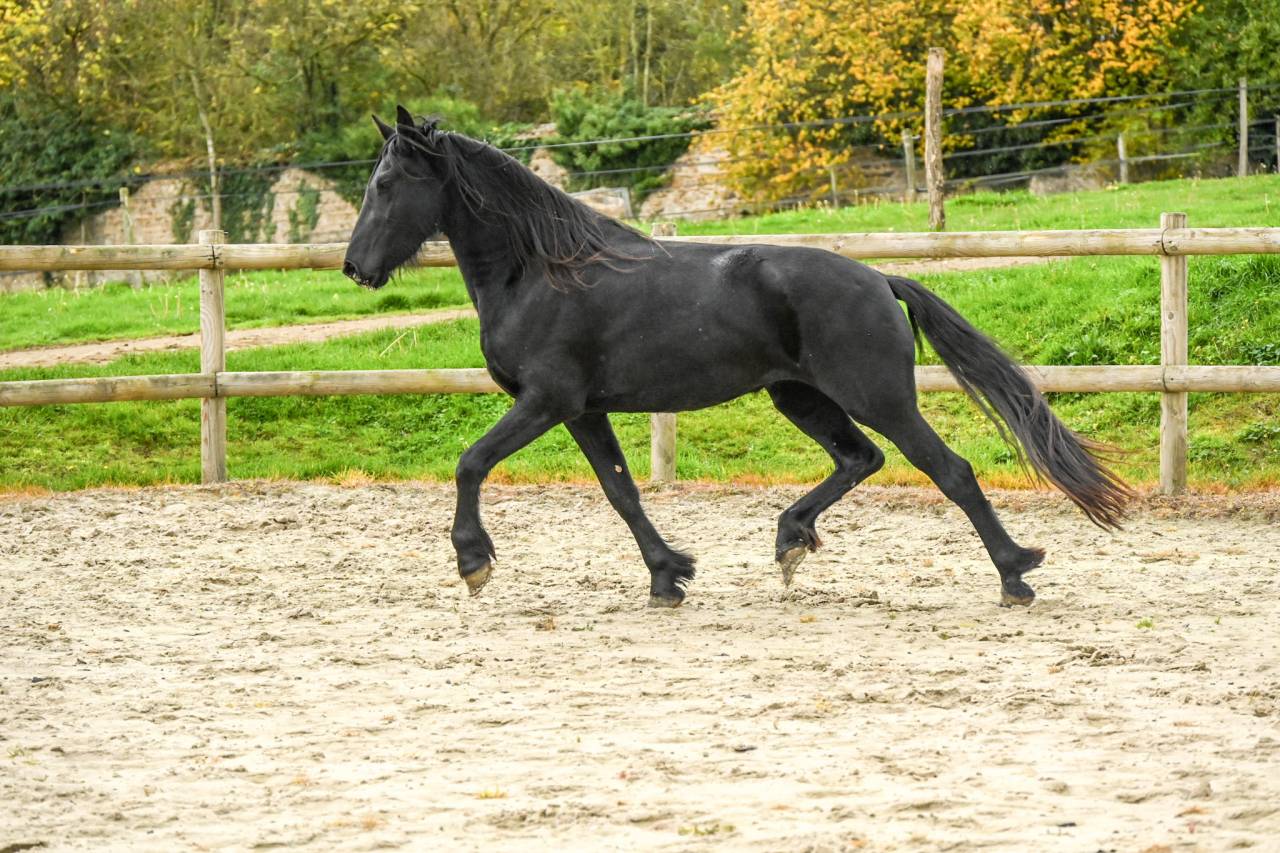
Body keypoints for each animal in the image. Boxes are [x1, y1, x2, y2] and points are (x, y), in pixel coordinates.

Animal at [343, 106, 1131, 609]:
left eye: (386, 184)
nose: (355, 268)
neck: (541, 271)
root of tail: (880, 279)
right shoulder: (583, 411)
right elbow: (623, 492)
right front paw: (669, 576)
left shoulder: (546, 401)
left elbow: (469, 462)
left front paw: (473, 563)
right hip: (800, 396)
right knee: (862, 458)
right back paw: (790, 540)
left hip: (877, 397)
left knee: (949, 470)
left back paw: (1016, 574)